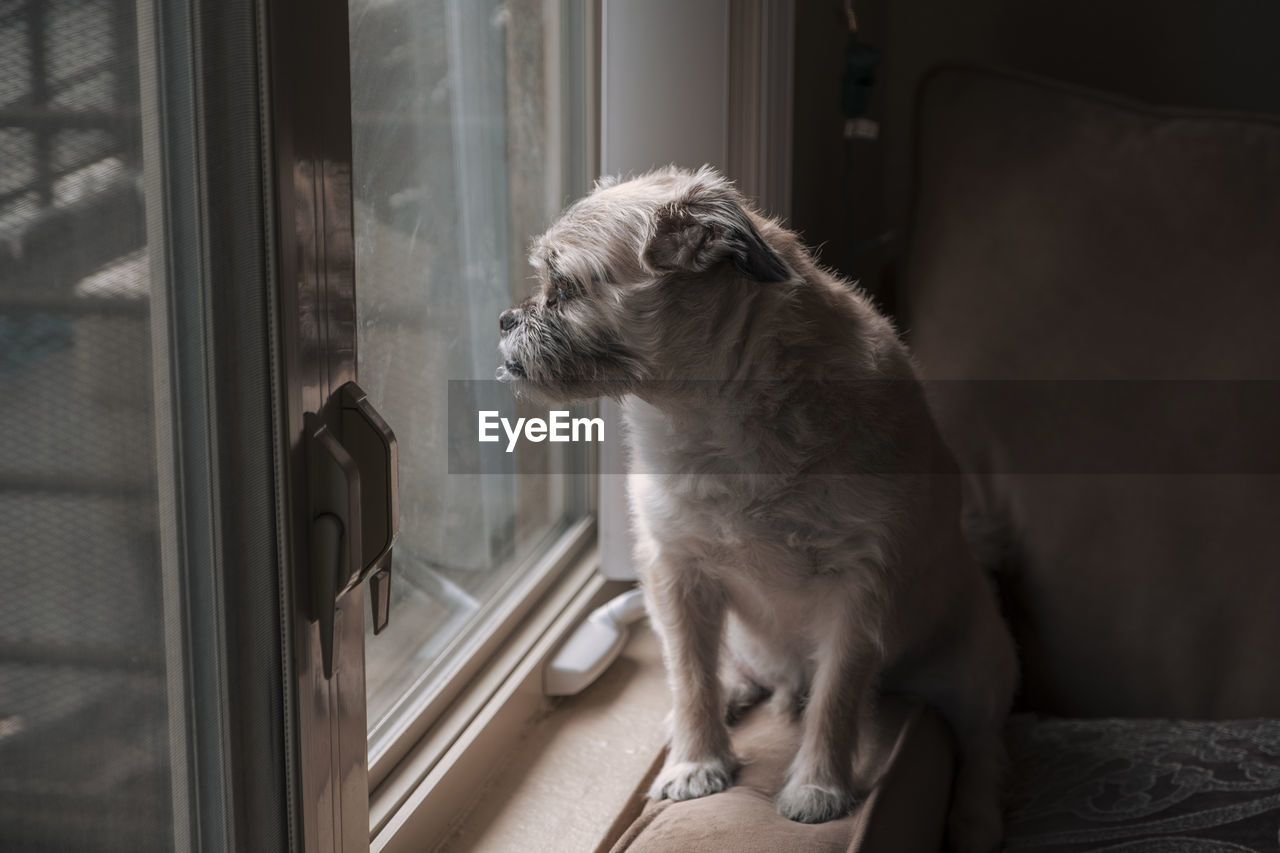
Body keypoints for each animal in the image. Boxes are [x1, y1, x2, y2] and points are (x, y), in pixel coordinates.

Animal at [494, 166, 1013, 850]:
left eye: (567, 287)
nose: (505, 319)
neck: (715, 421)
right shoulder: (675, 572)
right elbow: (690, 673)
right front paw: (696, 760)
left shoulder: (859, 593)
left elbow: (837, 697)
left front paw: (818, 787)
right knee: (722, 667)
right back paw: (729, 692)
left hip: (976, 675)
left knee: (981, 746)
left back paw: (977, 821)